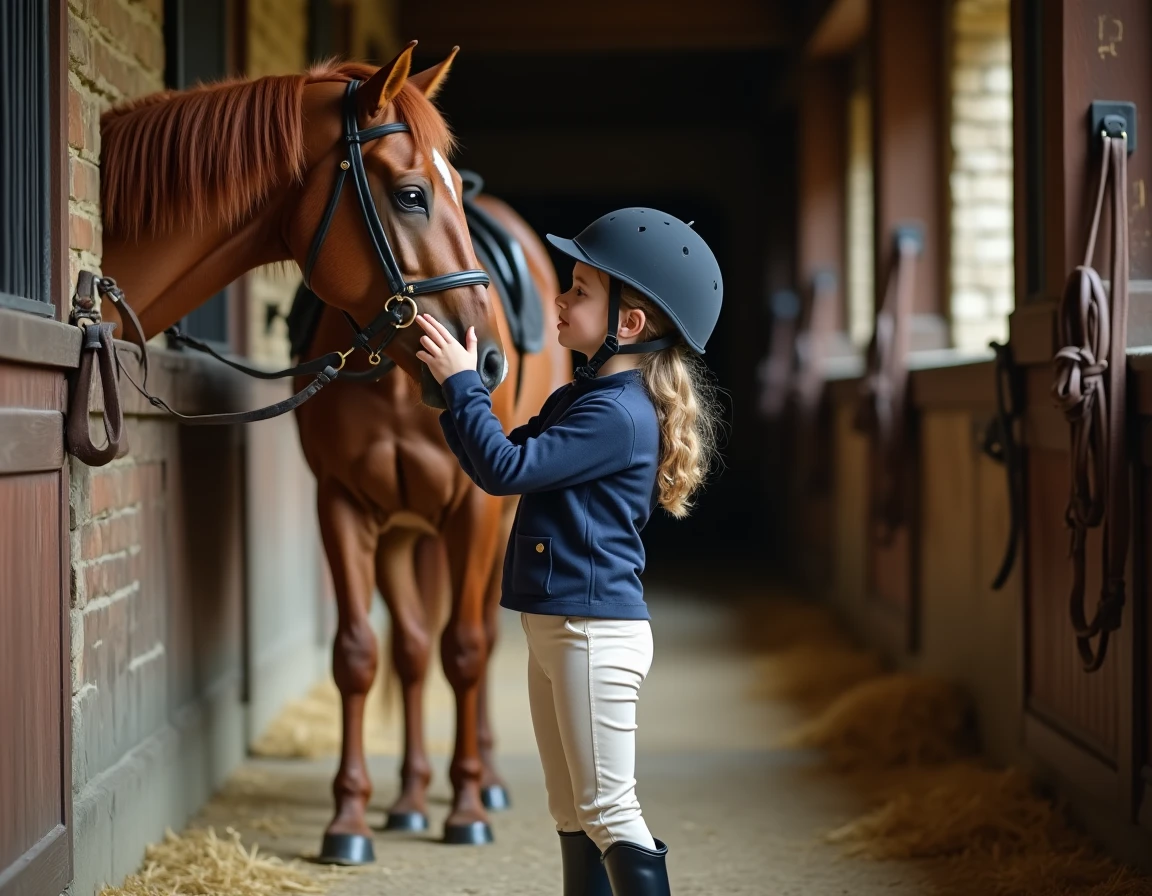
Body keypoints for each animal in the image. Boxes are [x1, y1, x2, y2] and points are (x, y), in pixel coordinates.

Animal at [98, 43, 567, 861]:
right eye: (410, 195)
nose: (489, 365)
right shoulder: (344, 506)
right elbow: (359, 654)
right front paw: (349, 819)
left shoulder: (473, 514)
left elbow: (466, 649)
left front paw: (467, 809)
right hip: (404, 532)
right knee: (410, 649)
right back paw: (408, 798)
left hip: (495, 522)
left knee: (472, 638)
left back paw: (480, 782)